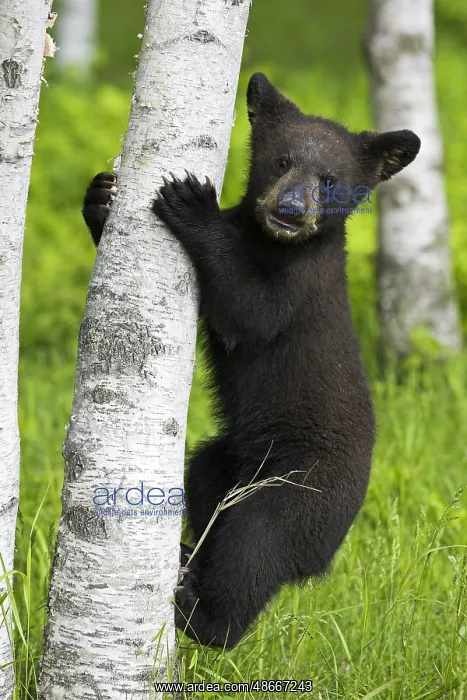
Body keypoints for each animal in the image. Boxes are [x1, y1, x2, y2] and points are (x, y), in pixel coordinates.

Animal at [82, 73, 420, 648]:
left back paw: (201, 612)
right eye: (281, 161)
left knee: (254, 546)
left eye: (329, 178)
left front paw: (191, 202)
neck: (271, 241)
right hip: (225, 461)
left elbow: (251, 310)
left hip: (293, 493)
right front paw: (101, 196)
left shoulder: (301, 283)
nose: (290, 210)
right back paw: (188, 557)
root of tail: (323, 560)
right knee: (206, 485)